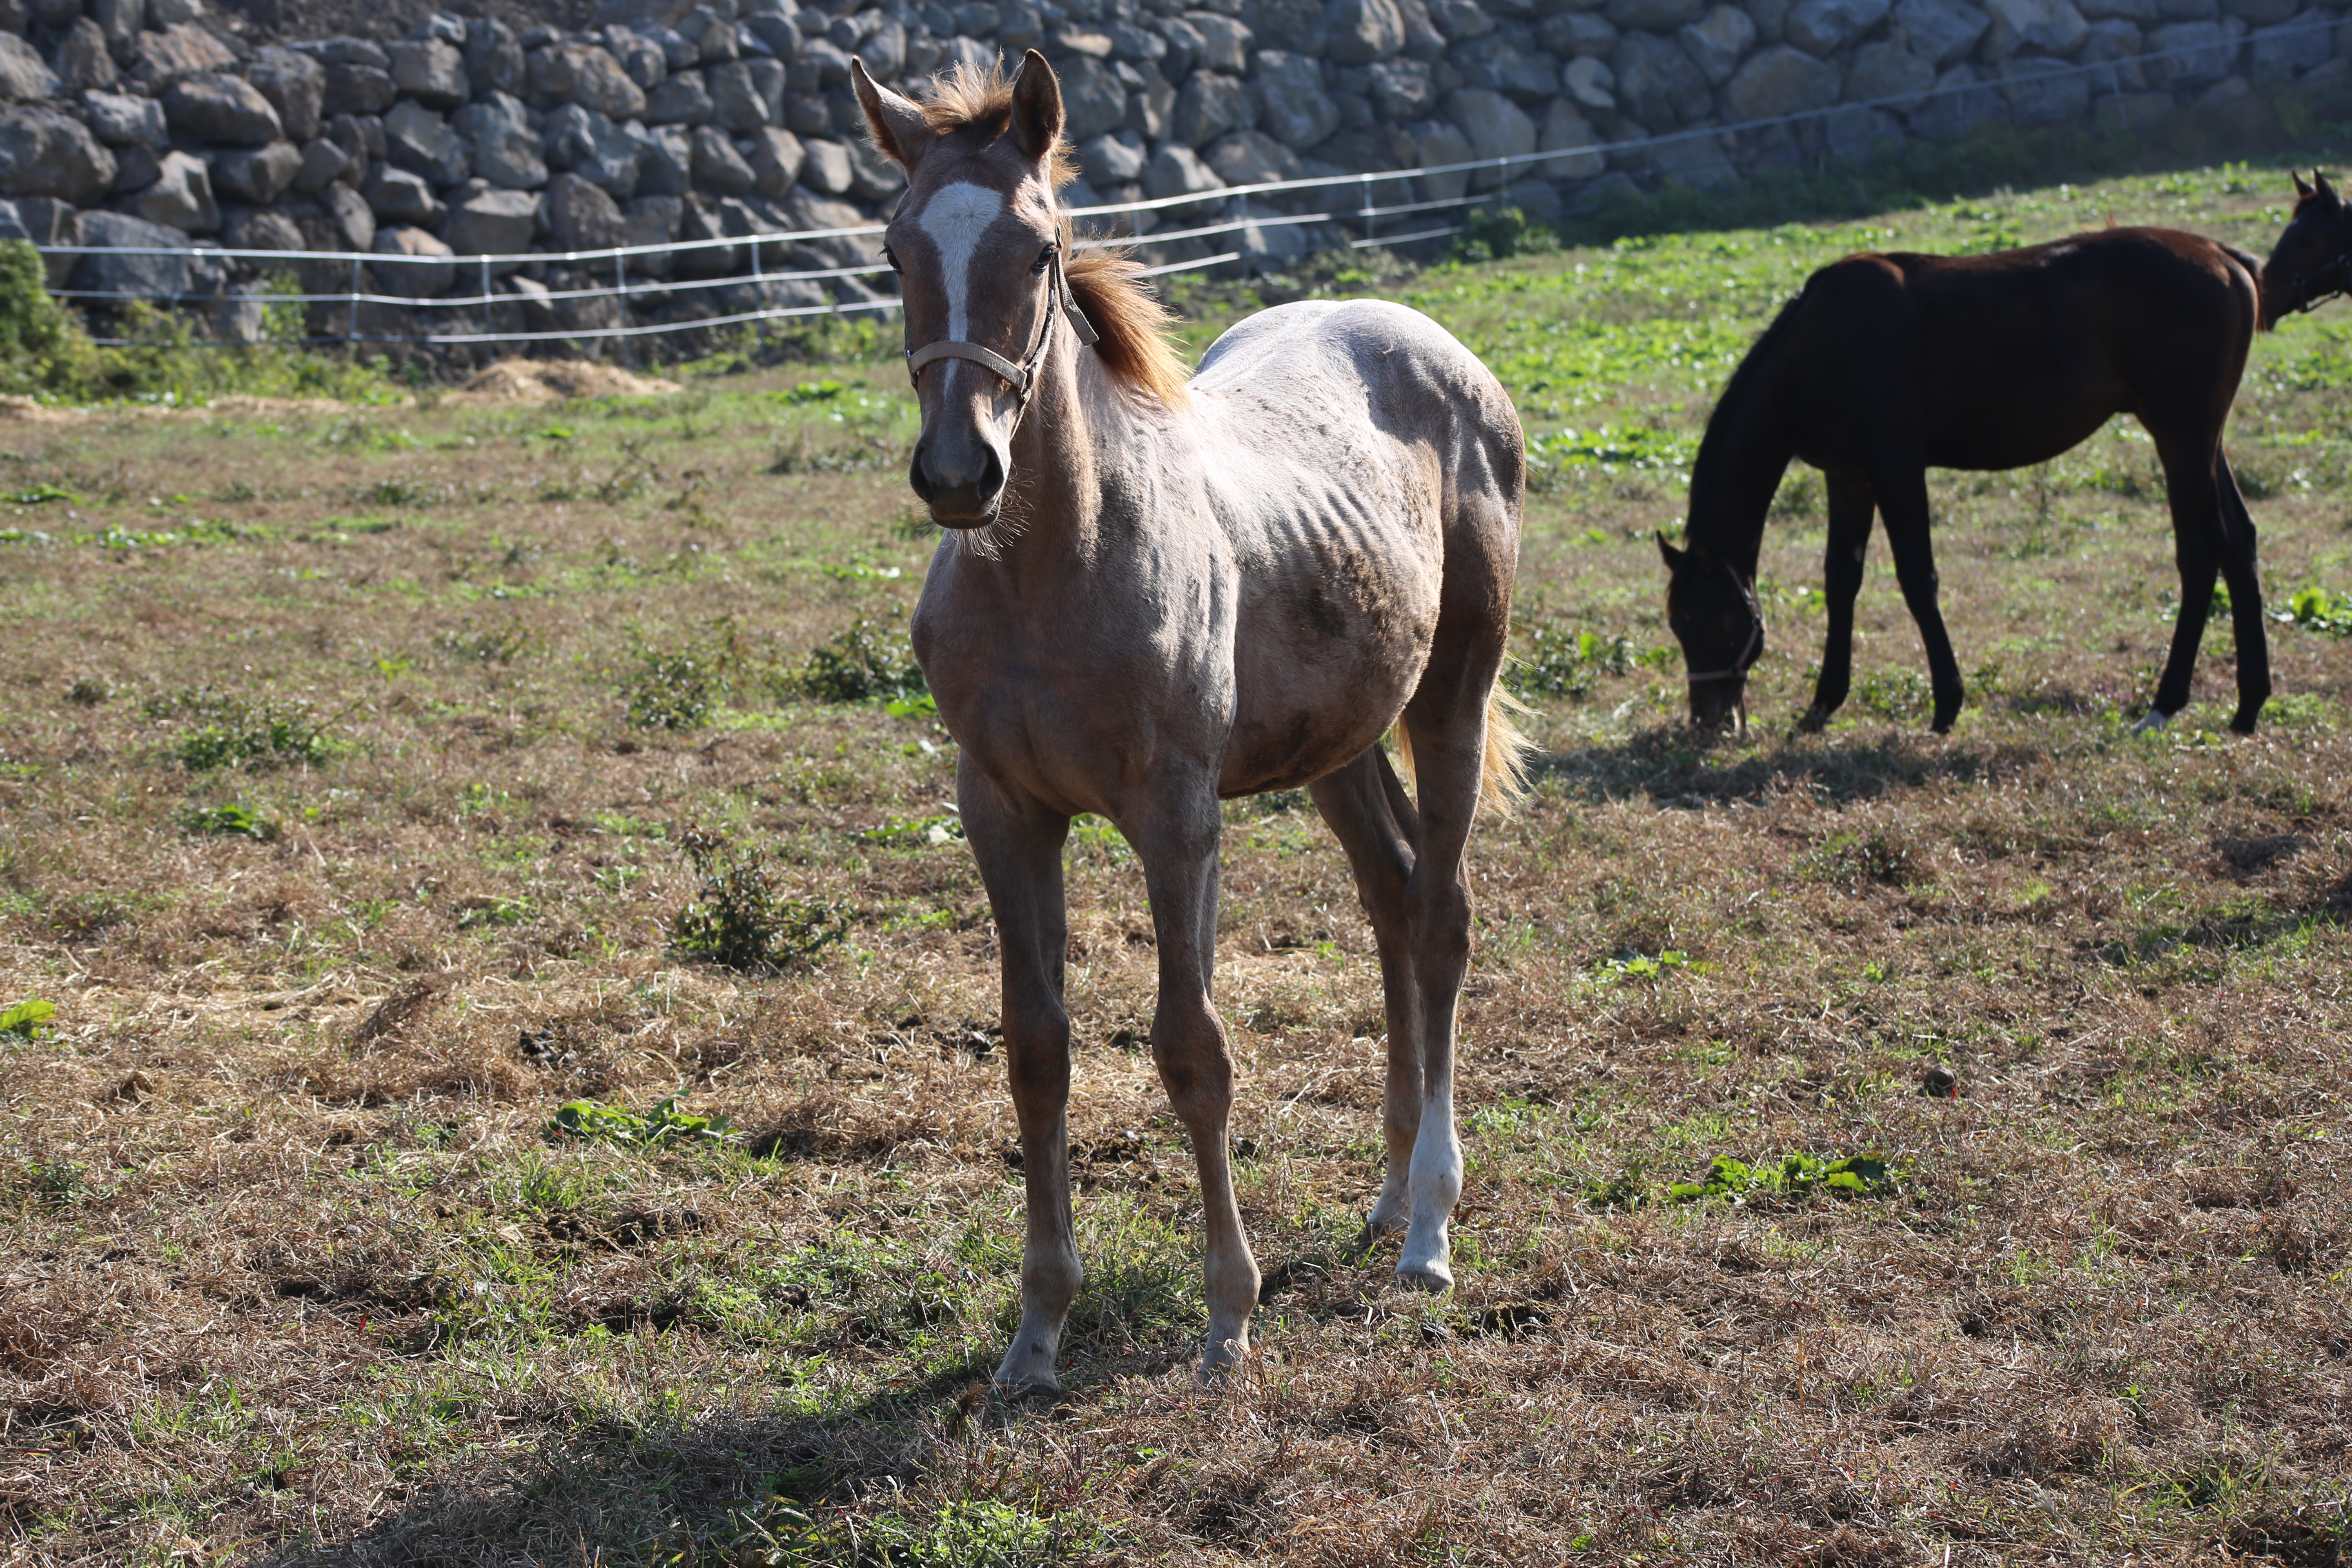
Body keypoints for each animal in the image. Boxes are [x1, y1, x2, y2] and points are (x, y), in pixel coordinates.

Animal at [1665, 221, 2267, 738]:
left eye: (1720, 626)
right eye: (1678, 626)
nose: (1709, 720)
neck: (1820, 346)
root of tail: (2222, 256)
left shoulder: (1897, 466)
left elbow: (1917, 578)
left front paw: (1947, 703)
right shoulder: (1849, 477)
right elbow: (1841, 580)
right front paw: (1823, 703)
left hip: (2181, 435)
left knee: (2202, 549)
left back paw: (2165, 704)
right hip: (2204, 439)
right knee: (2239, 542)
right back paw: (2249, 704)